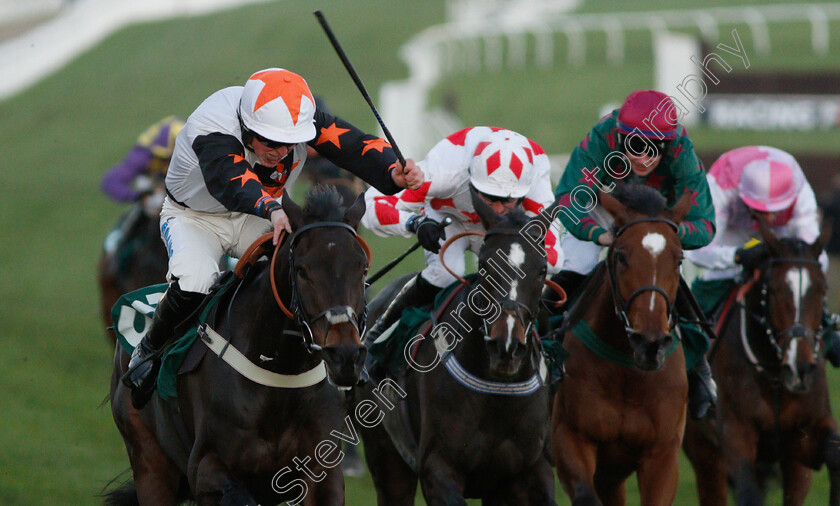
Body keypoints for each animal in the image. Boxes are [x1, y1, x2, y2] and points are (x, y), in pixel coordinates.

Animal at [110, 188, 370, 504]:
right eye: (302, 270)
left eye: (362, 268)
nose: (345, 355)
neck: (280, 372)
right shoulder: (206, 465)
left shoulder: (323, 471)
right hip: (149, 461)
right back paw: (142, 361)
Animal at [354, 191, 556, 506]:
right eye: (484, 265)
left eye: (542, 270)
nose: (506, 346)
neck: (497, 394)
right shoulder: (438, 470)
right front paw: (424, 228)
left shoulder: (531, 469)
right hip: (386, 457)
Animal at [684, 217, 840, 506]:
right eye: (776, 291)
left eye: (822, 289)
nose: (800, 369)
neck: (775, 376)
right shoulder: (734, 434)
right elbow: (749, 493)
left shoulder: (804, 436)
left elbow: (835, 456)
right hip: (702, 452)